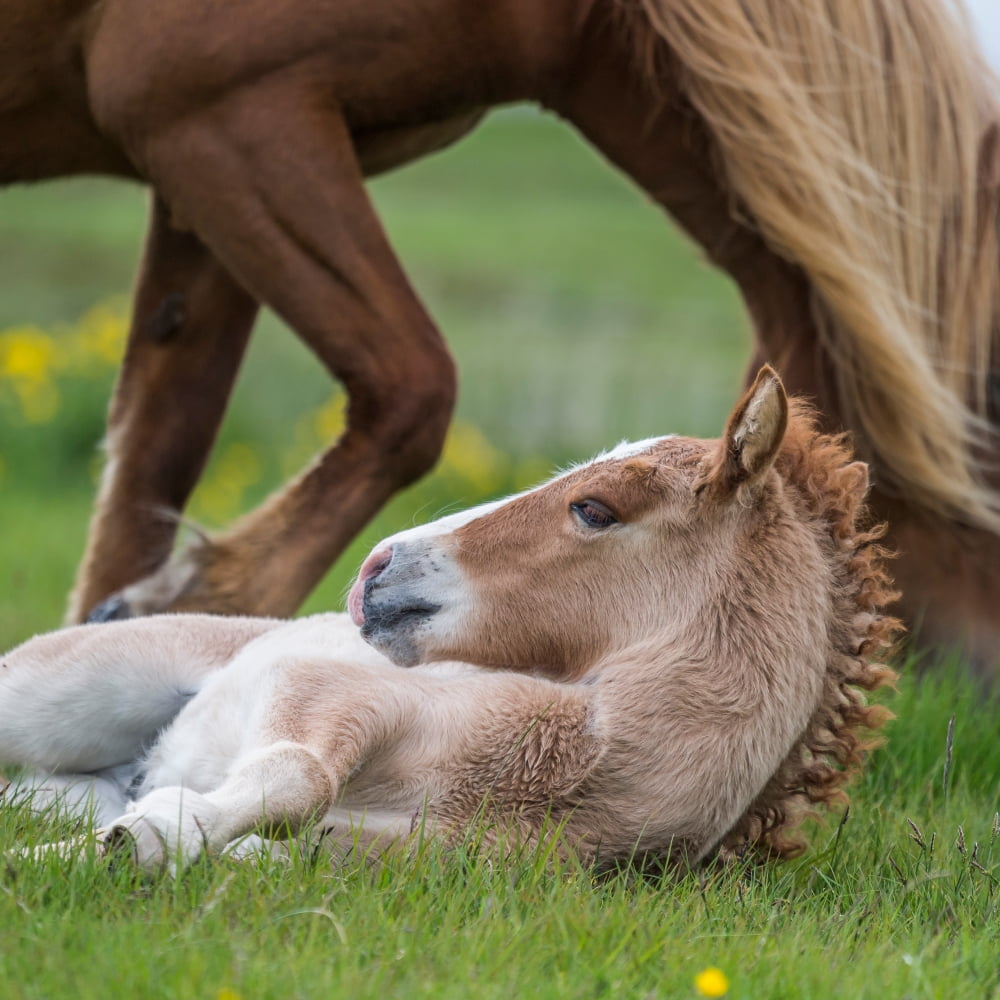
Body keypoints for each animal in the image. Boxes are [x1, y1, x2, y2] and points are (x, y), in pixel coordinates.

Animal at [0, 368, 899, 872]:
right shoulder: (327, 690)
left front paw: (110, 847)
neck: (569, 775)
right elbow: (299, 774)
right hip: (48, 691)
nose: (376, 569)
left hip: (67, 783)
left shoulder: (375, 860)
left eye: (595, 509)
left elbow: (250, 844)